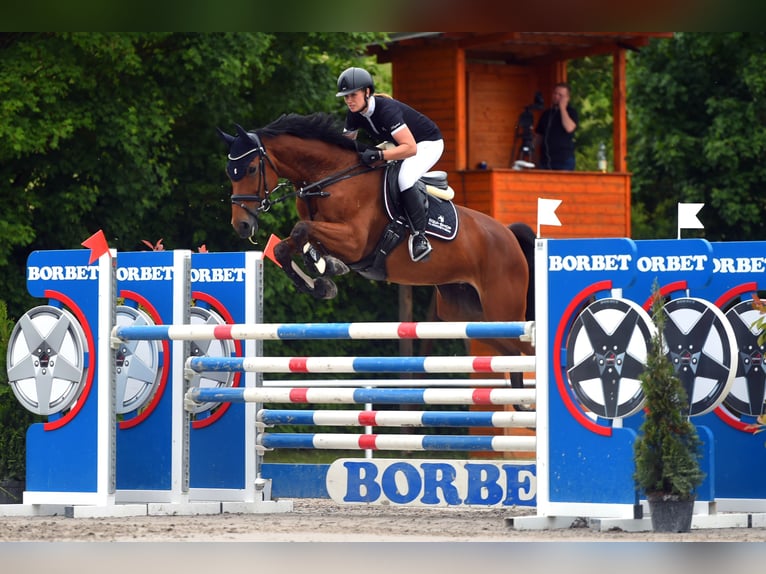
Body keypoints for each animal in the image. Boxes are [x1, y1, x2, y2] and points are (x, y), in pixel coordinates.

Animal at [218, 112, 536, 365]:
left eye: (250, 169)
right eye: (230, 173)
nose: (241, 225)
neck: (330, 177)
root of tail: (509, 235)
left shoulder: (355, 241)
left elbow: (301, 230)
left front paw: (323, 273)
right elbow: (290, 245)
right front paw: (322, 276)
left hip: (501, 308)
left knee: (525, 348)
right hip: (465, 313)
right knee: (511, 350)